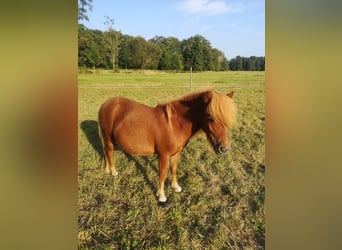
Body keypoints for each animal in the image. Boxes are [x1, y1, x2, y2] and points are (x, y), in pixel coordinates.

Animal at [97, 90, 236, 201]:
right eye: (210, 116)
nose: (224, 148)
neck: (174, 124)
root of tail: (106, 104)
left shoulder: (176, 153)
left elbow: (173, 169)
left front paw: (176, 187)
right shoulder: (163, 155)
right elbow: (163, 174)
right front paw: (161, 196)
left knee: (107, 152)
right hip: (108, 139)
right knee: (109, 152)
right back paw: (113, 172)